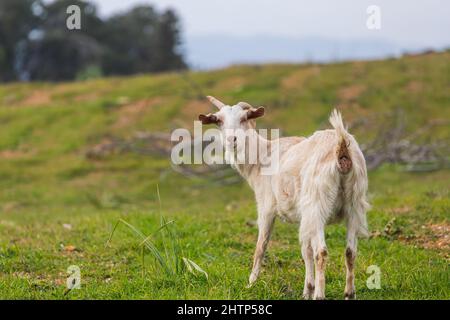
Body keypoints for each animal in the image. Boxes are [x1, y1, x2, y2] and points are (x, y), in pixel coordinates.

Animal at [198, 97, 370, 300]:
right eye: (219, 120)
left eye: (244, 118)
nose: (232, 140)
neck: (261, 157)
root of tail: (342, 146)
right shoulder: (303, 217)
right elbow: (306, 249)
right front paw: (307, 290)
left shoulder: (266, 207)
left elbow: (261, 246)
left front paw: (251, 283)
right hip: (354, 205)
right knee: (350, 251)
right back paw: (349, 293)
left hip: (317, 204)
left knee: (321, 252)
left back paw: (320, 295)